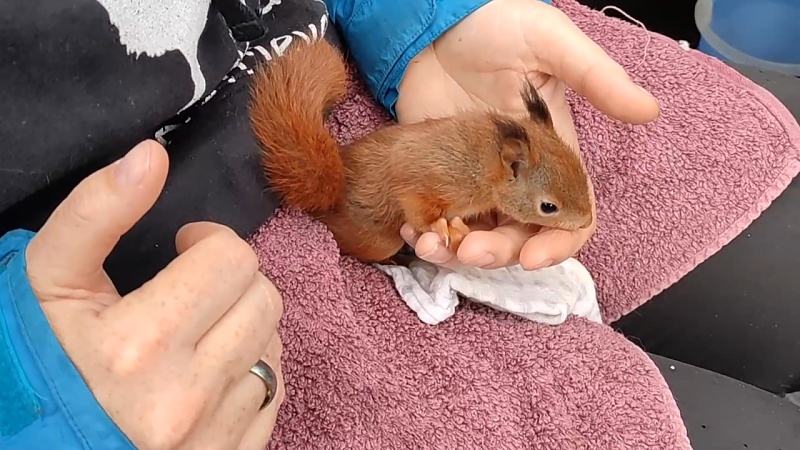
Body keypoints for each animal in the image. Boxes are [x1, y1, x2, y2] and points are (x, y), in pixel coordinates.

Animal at [249, 38, 593, 264]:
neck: (483, 164)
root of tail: (335, 190)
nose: (586, 221)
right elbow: (418, 206)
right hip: (376, 239)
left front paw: (457, 226)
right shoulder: (424, 181)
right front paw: (440, 226)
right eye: (548, 207)